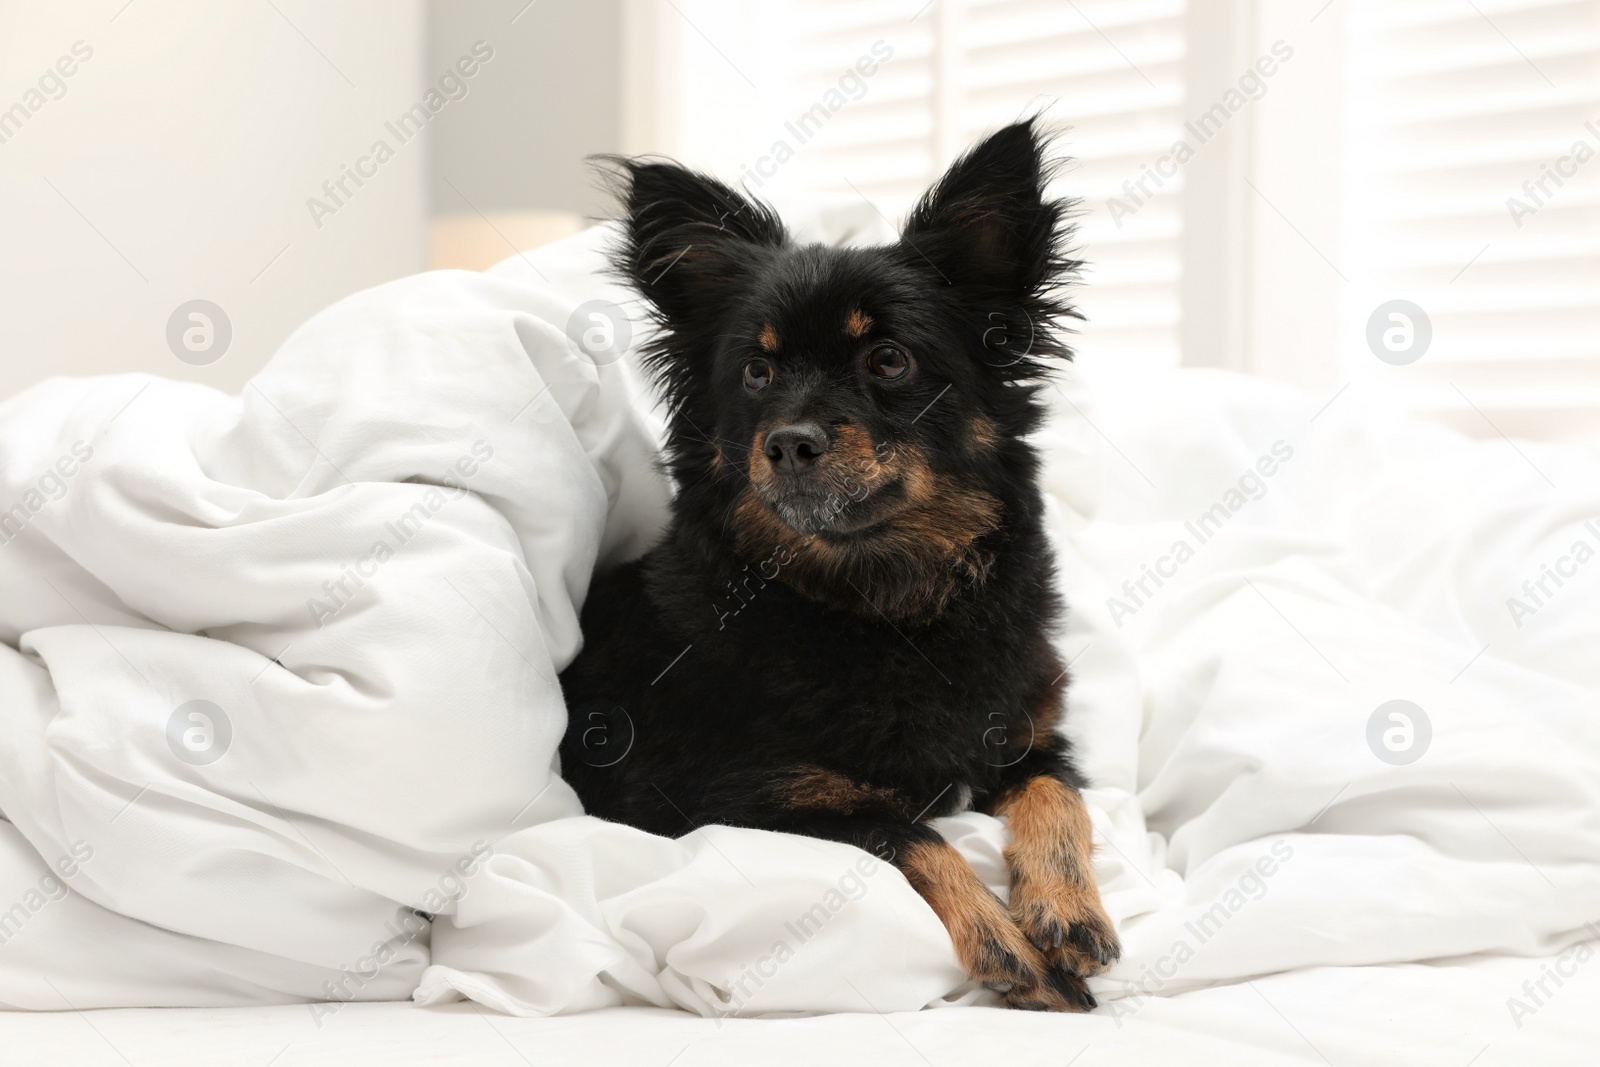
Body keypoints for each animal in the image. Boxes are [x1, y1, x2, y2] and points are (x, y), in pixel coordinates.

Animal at [563, 120, 1126, 1017]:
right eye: (756, 372)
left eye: (889, 361)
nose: (789, 442)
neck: (880, 603)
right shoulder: (738, 802)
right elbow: (910, 833)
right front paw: (1007, 943)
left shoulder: (1032, 738)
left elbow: (1059, 799)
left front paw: (1066, 909)